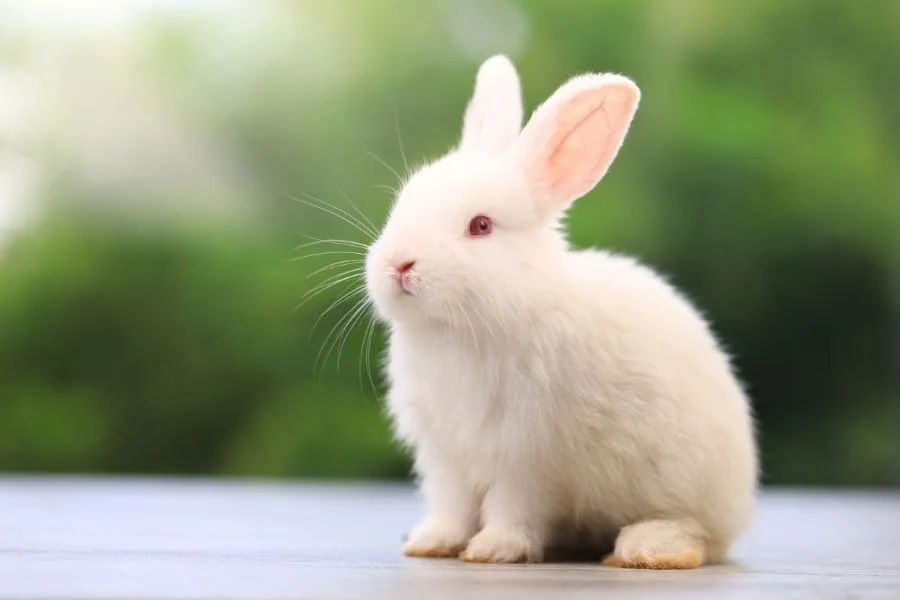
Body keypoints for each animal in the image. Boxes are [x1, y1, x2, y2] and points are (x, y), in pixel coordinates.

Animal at [364, 55, 758, 569]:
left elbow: (512, 508)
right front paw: (432, 543)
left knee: (699, 536)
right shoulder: (446, 457)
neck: (461, 332)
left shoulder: (527, 458)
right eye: (402, 203)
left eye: (481, 226)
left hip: (684, 486)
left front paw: (493, 550)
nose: (399, 264)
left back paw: (645, 549)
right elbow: (452, 505)